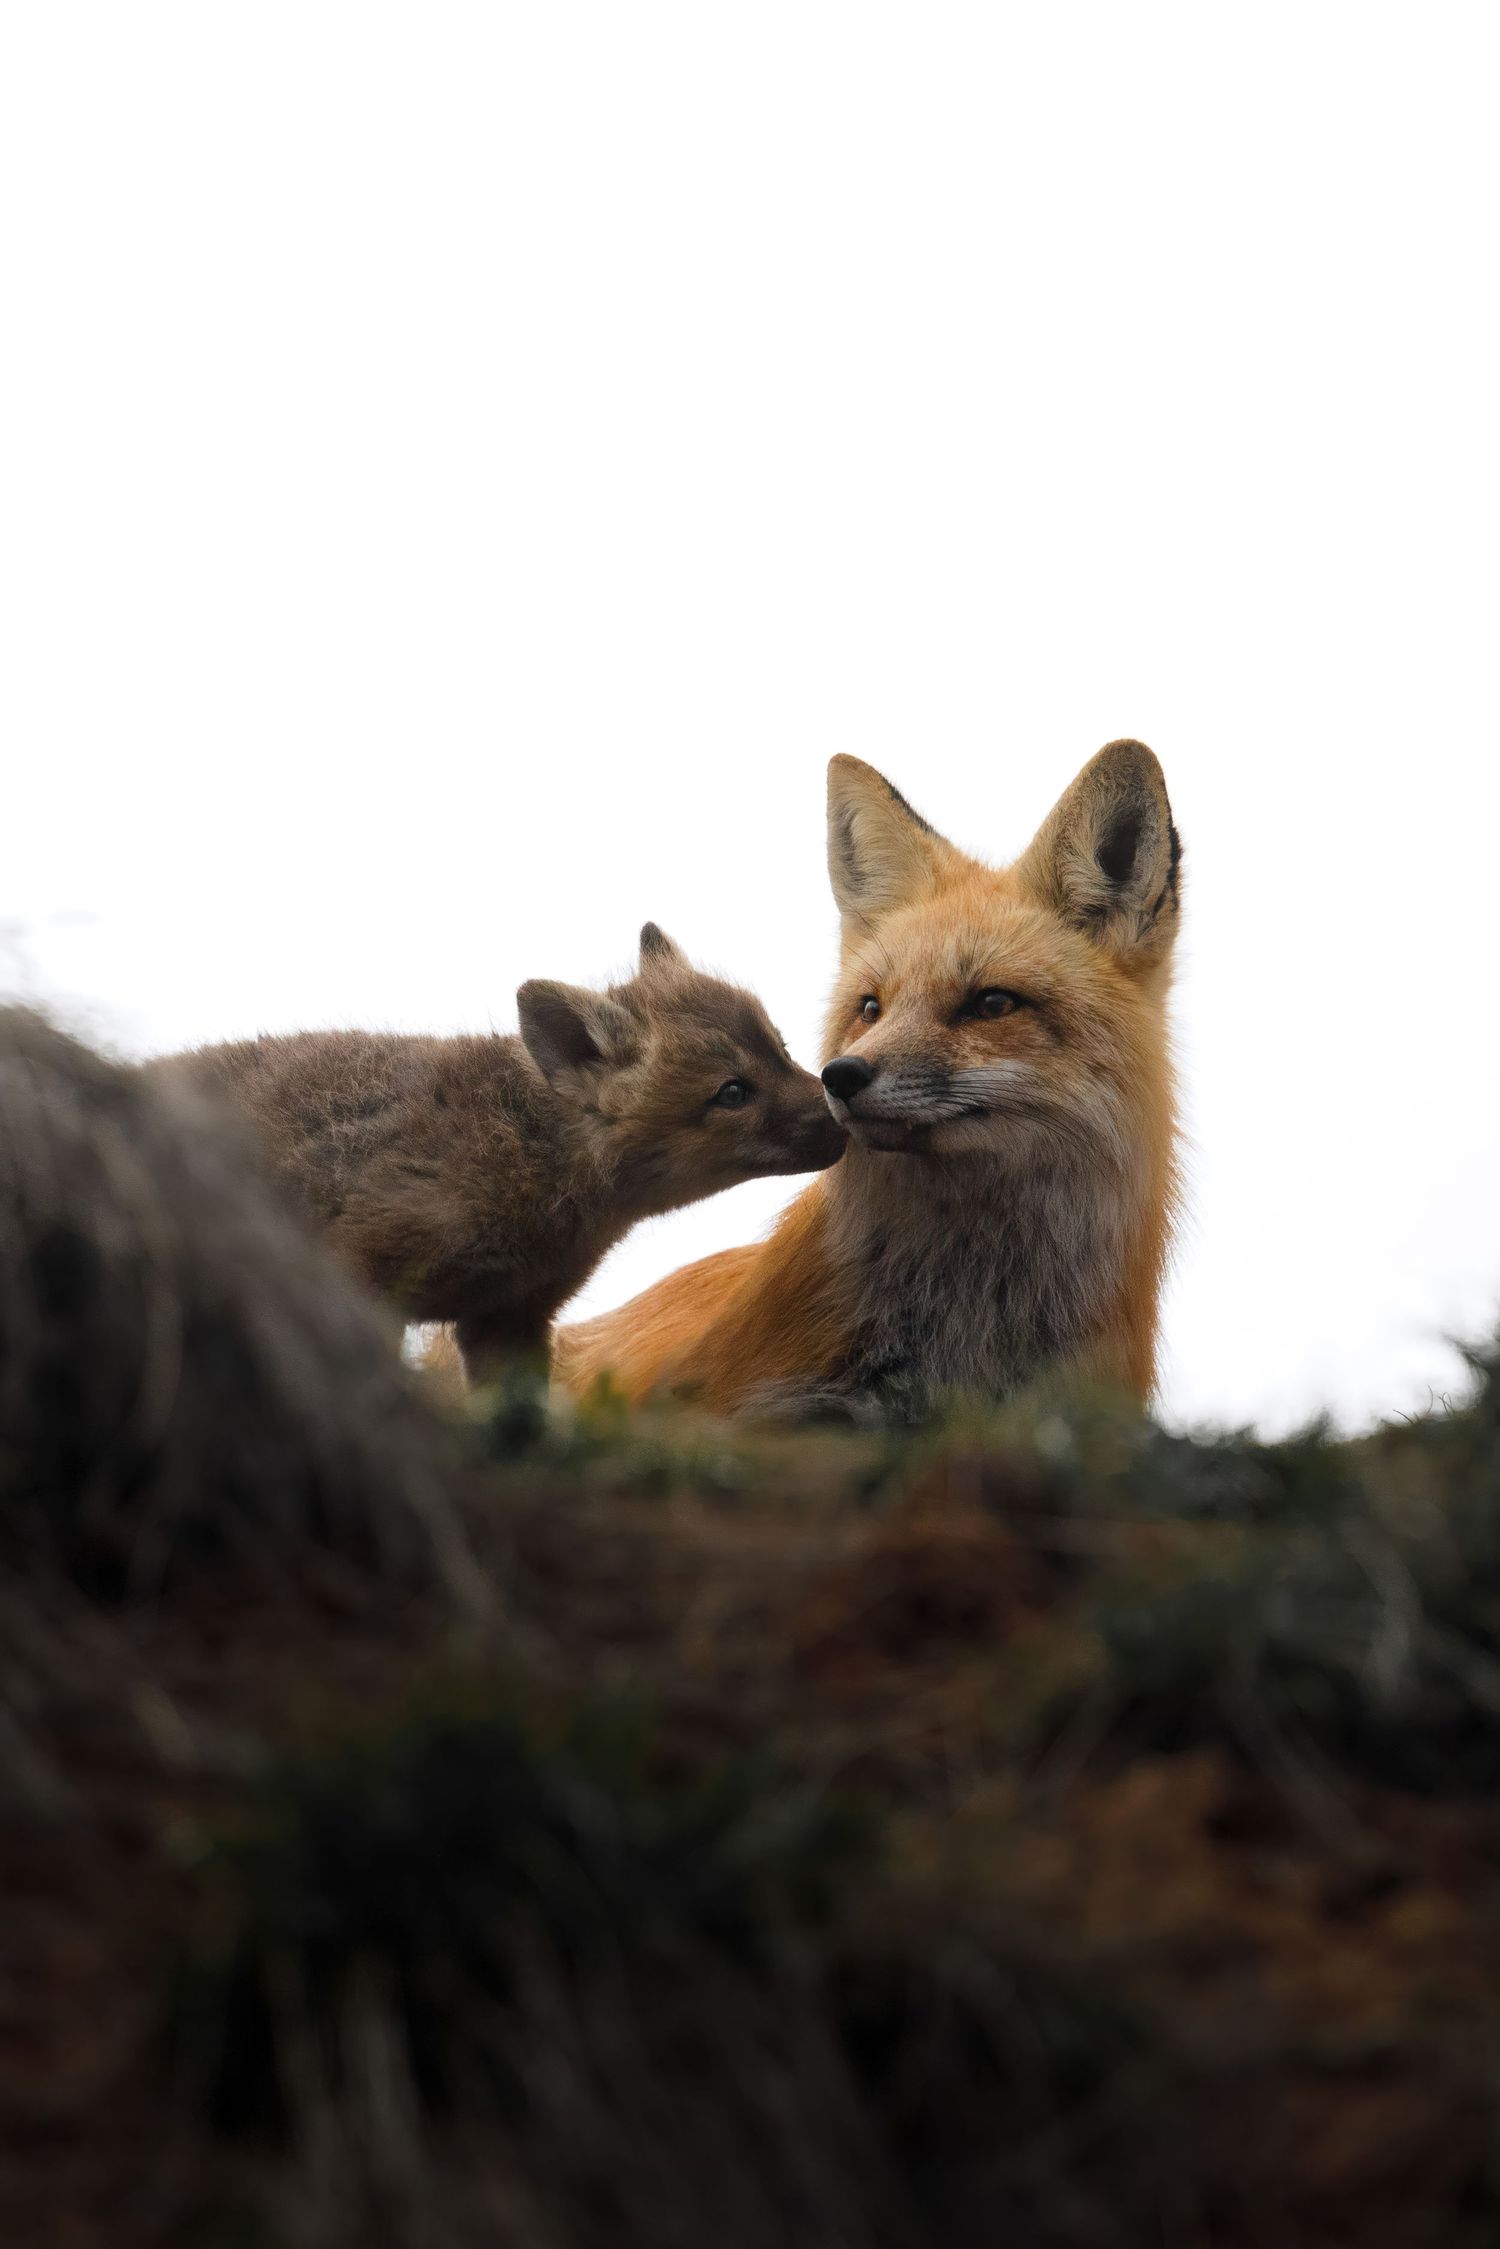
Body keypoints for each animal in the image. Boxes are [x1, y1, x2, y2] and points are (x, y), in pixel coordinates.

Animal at [150, 924, 845, 1384]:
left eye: (782, 1049)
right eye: (732, 1093)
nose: (843, 1106)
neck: (519, 1151)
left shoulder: (510, 1318)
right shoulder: (364, 1281)